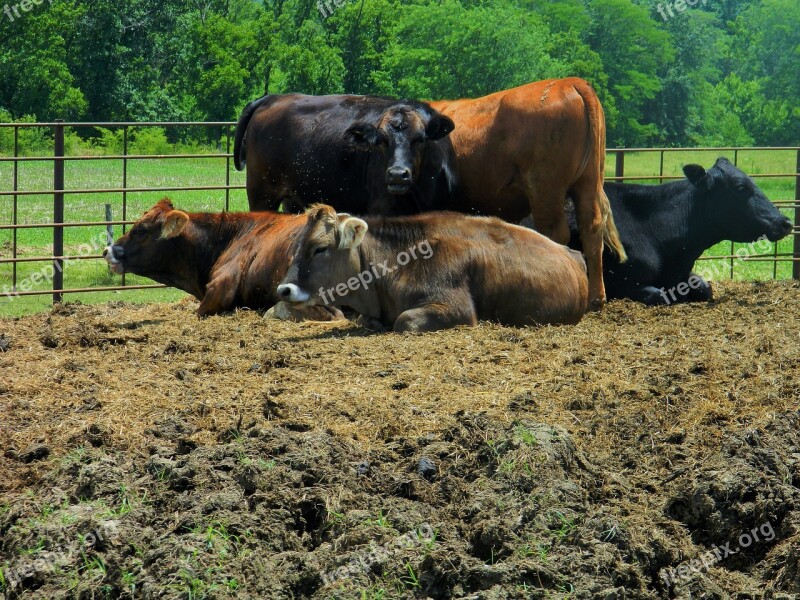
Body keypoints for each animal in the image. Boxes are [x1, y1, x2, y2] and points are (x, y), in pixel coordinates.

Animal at [234, 94, 454, 216]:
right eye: (382, 140)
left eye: (420, 139)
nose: (397, 175)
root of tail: (272, 98)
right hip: (262, 195)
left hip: (293, 200)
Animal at [428, 77, 628, 308]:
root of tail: (569, 81)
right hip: (588, 183)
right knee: (591, 229)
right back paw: (595, 299)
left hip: (545, 190)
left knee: (554, 233)